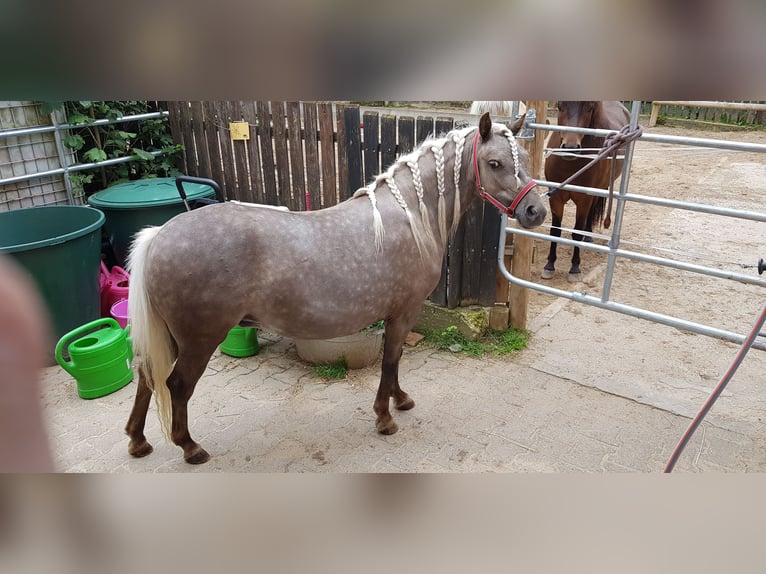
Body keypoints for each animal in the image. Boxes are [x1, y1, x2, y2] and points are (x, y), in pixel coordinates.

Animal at [125, 113, 547, 464]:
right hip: (199, 339)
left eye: (525, 158)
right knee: (176, 385)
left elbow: (395, 363)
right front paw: (385, 418)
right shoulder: (404, 311)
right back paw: (189, 447)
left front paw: (400, 400)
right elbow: (390, 361)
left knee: (146, 376)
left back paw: (137, 440)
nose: (536, 212)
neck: (411, 215)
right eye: (495, 163)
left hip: (172, 337)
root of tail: (160, 234)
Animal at [541, 101, 630, 281]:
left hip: (597, 190)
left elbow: (576, 233)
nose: (570, 148)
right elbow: (555, 231)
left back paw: (588, 236)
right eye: (560, 105)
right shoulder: (556, 197)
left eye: (589, 107)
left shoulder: (583, 199)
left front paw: (574, 268)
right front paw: (549, 265)